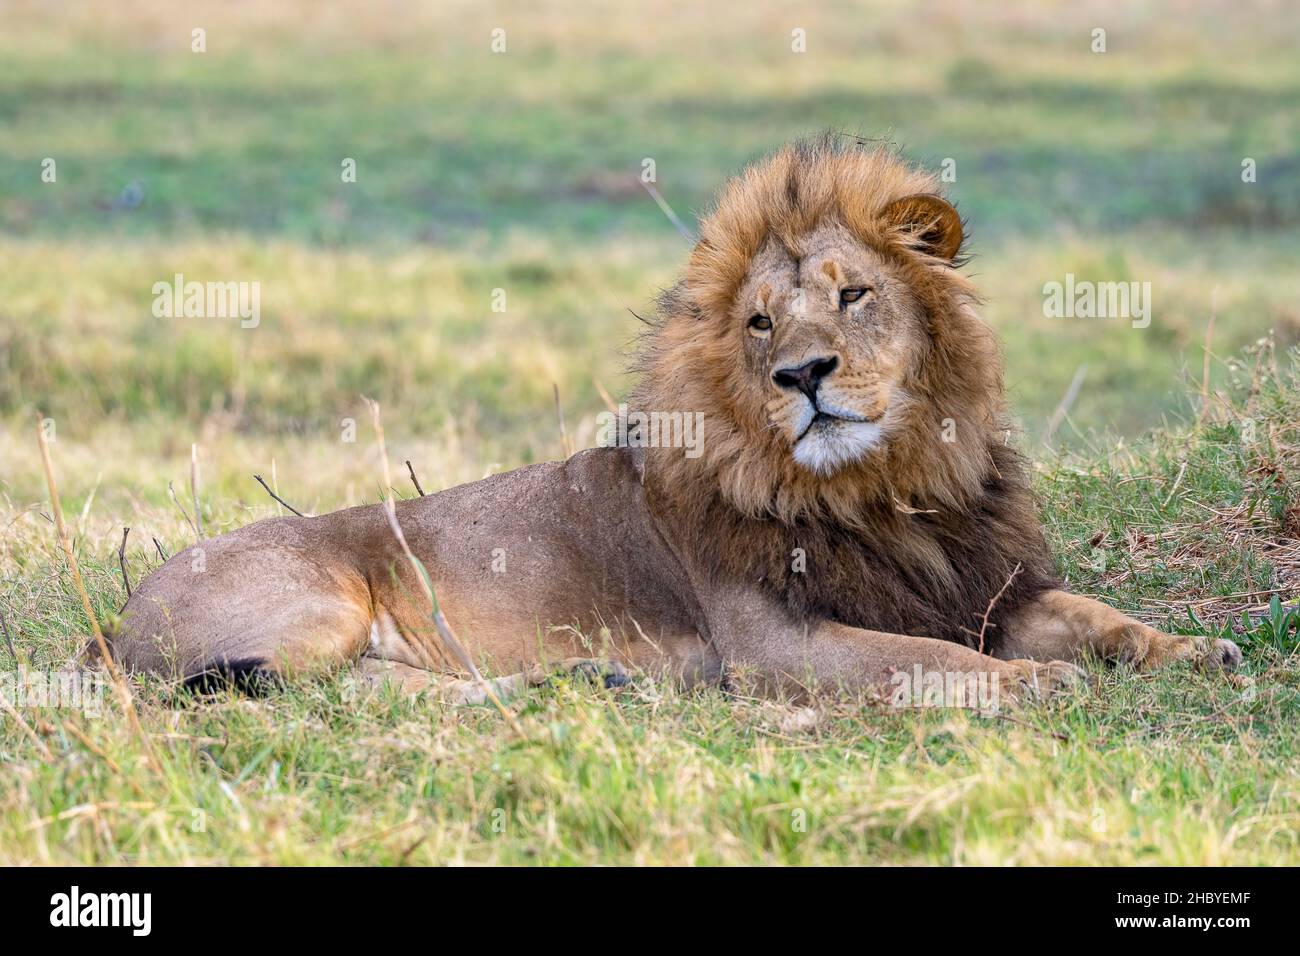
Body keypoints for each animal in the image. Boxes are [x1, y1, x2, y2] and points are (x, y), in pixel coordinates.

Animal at [107, 135, 1240, 706]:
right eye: (759, 320)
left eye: (855, 295)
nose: (803, 374)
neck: (881, 486)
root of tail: (115, 620)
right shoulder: (775, 642)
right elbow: (941, 664)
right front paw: (1039, 685)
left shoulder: (982, 585)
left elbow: (1097, 616)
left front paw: (1196, 650)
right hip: (322, 603)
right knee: (325, 695)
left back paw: (584, 679)